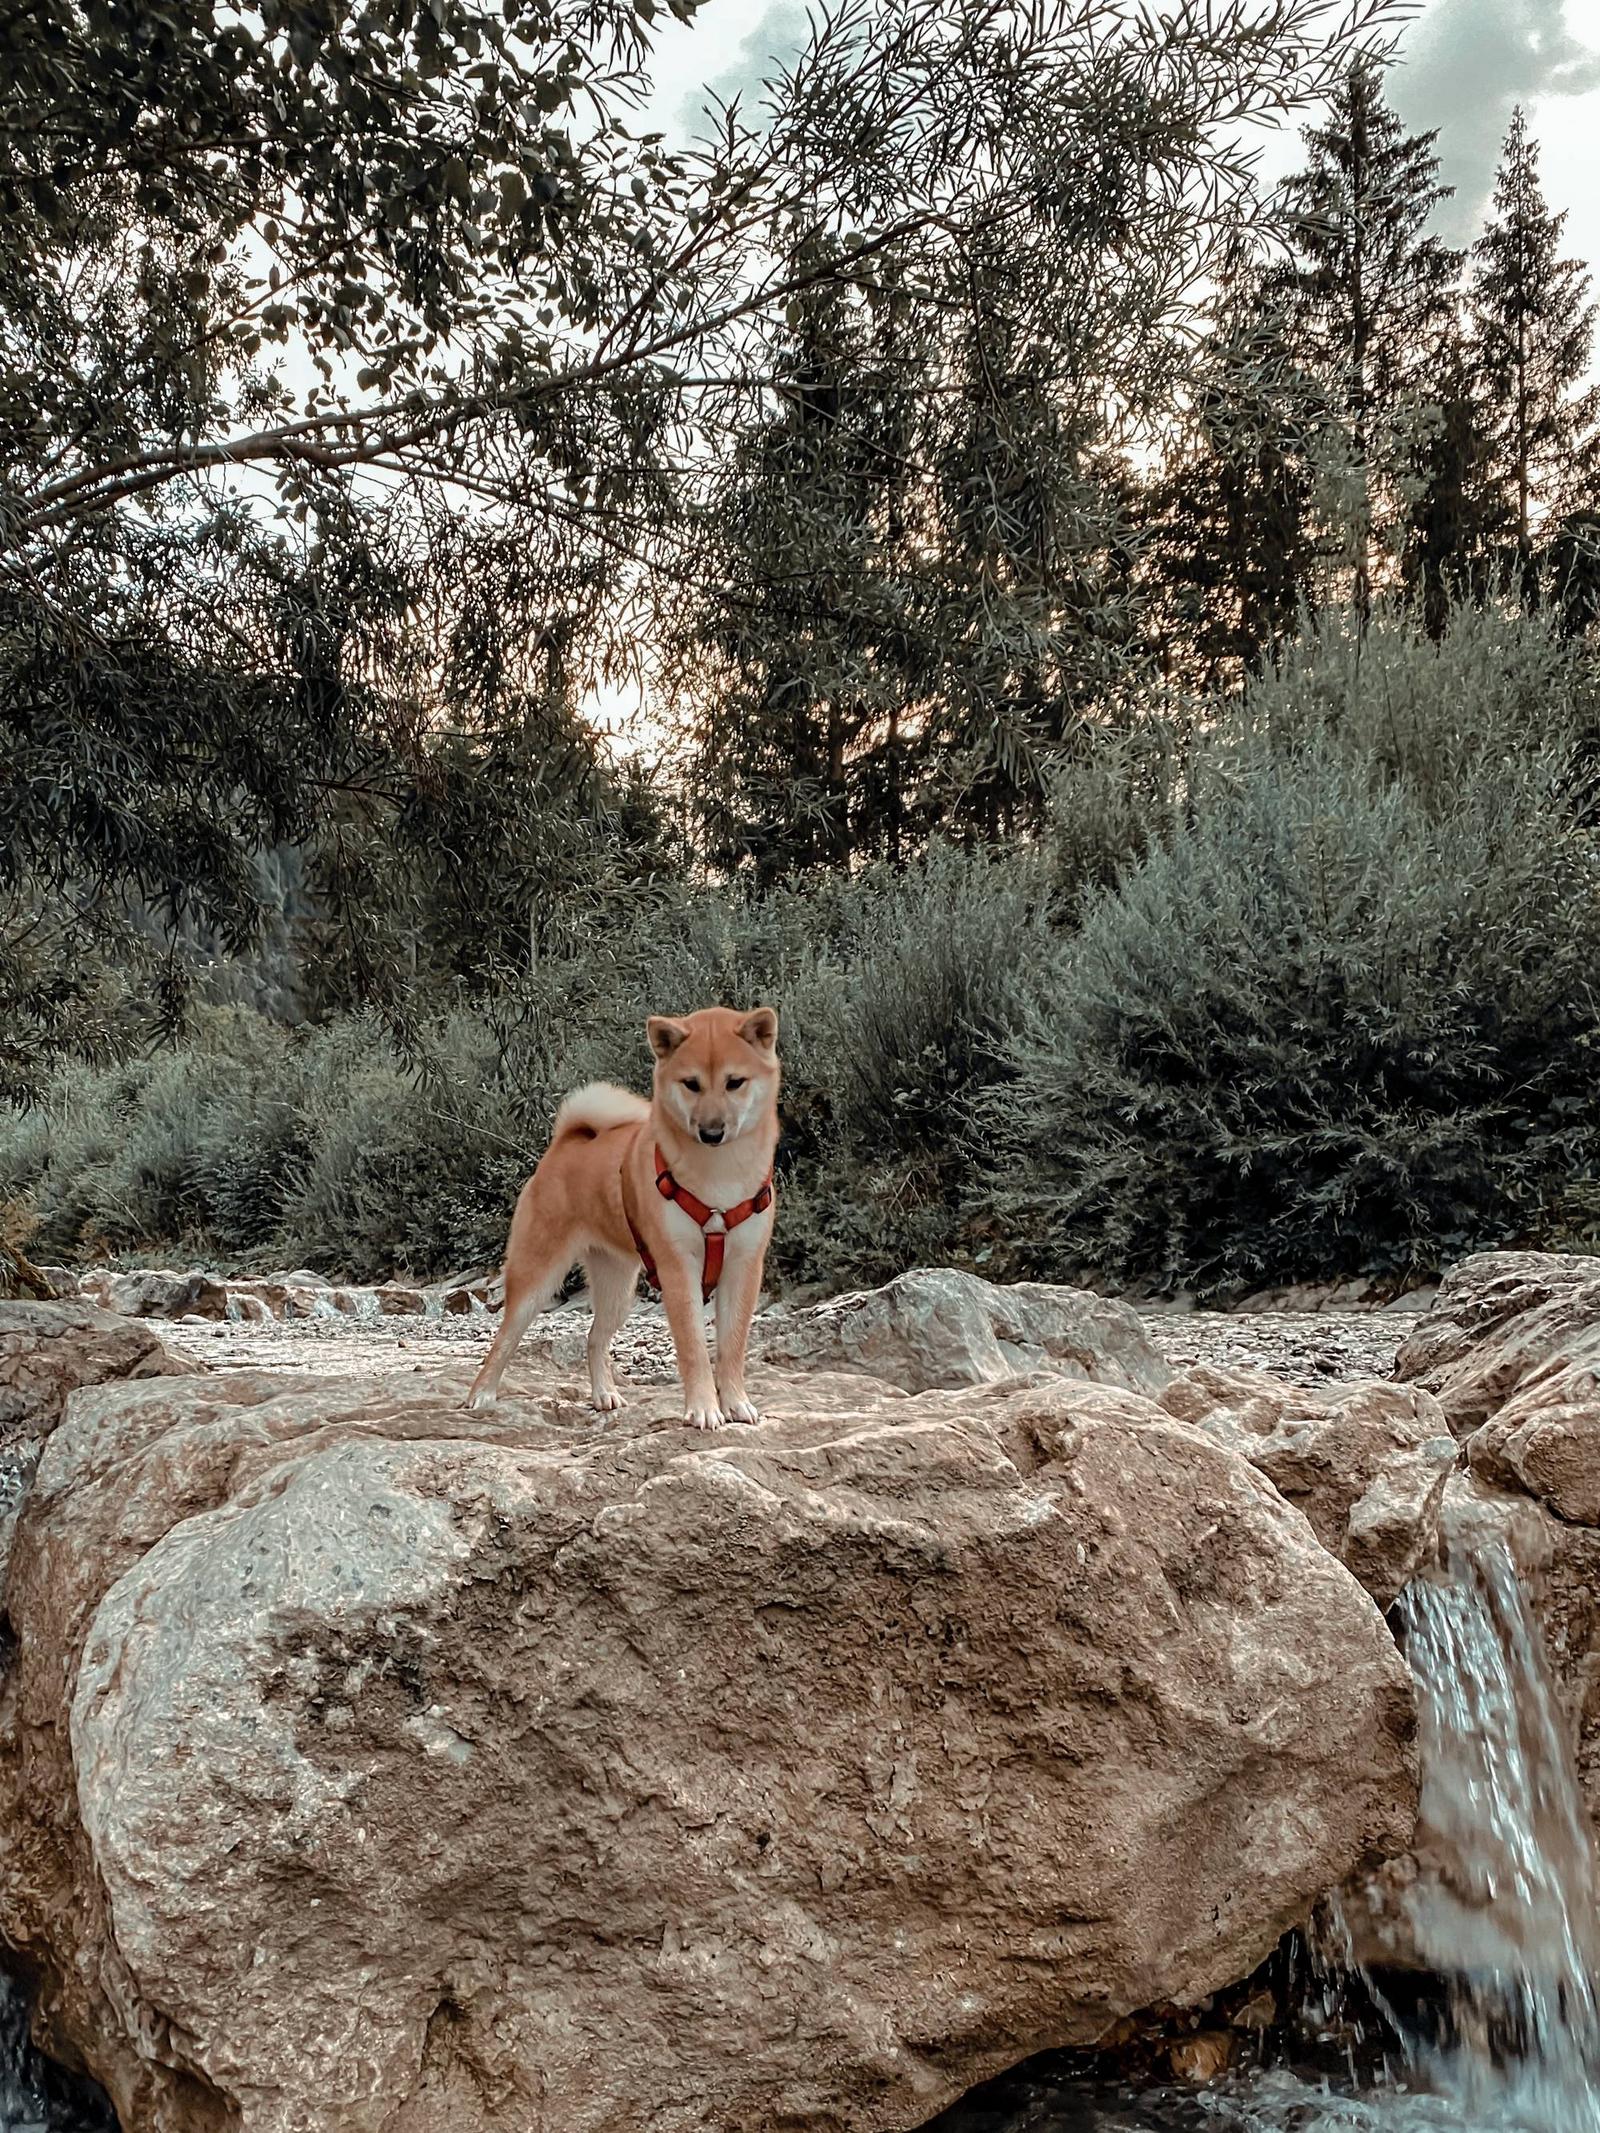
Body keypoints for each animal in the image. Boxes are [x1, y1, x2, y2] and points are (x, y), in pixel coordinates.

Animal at [462, 1006, 785, 1424]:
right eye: (691, 1084)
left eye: (735, 1083)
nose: (711, 1132)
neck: (719, 1177)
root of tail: (565, 1143)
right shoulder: (678, 1267)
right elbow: (695, 1348)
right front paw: (703, 1408)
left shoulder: (743, 1265)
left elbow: (732, 1345)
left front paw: (735, 1402)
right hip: (537, 1279)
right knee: (504, 1338)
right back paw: (481, 1395)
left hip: (617, 1289)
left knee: (594, 1338)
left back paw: (604, 1394)